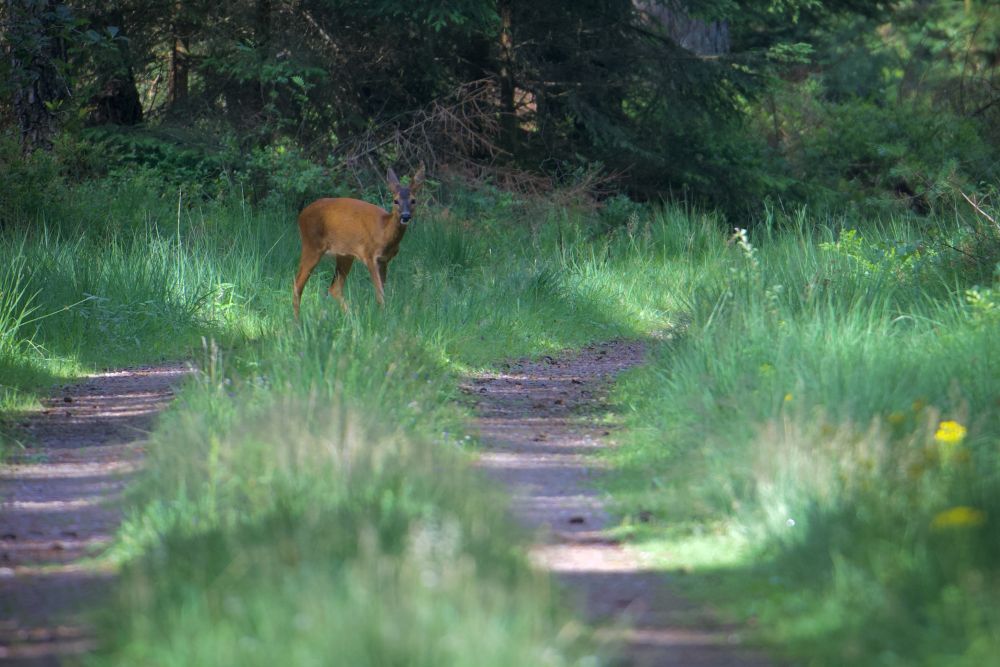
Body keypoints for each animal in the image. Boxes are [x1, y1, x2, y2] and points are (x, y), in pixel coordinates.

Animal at [293, 164, 425, 319]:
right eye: (395, 200)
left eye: (413, 200)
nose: (405, 216)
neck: (384, 232)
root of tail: (301, 215)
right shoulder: (369, 255)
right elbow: (380, 293)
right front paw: (384, 316)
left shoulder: (384, 260)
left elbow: (382, 290)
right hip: (312, 245)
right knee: (297, 284)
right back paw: (297, 321)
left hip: (344, 255)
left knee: (334, 288)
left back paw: (351, 316)